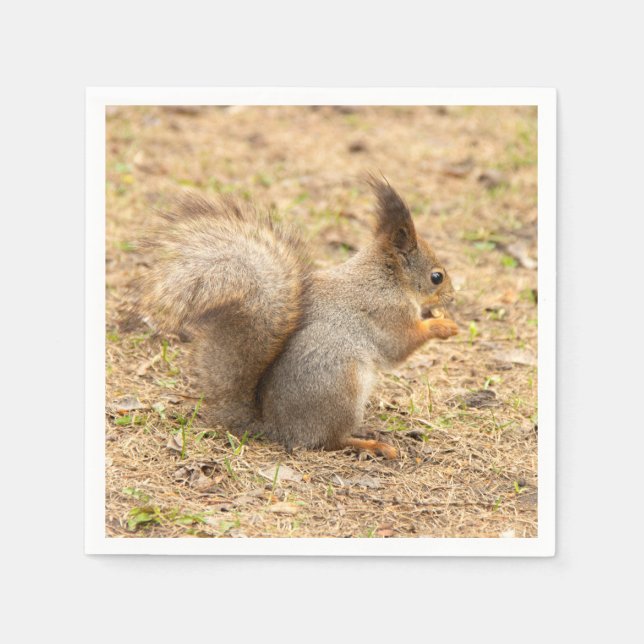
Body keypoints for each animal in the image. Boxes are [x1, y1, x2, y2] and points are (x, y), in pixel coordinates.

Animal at [136, 176, 458, 459]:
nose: (452, 298)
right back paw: (371, 444)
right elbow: (400, 345)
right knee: (330, 441)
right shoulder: (387, 312)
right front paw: (442, 325)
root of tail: (277, 428)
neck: (387, 278)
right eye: (436, 277)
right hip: (341, 386)